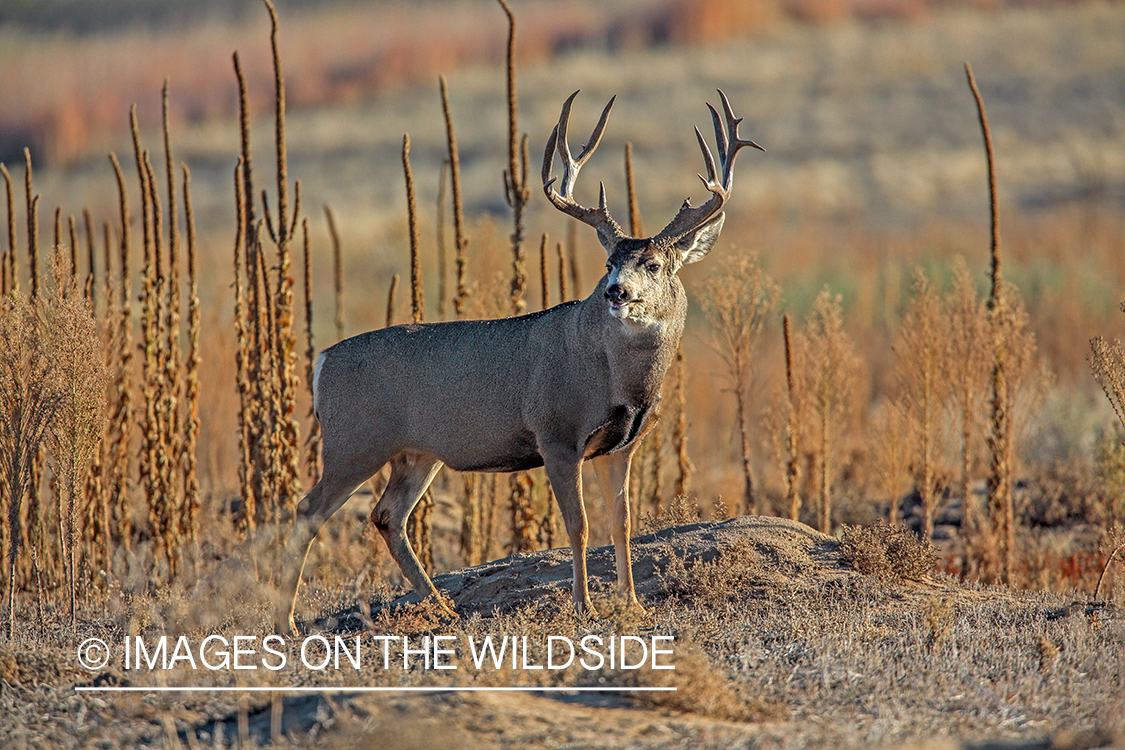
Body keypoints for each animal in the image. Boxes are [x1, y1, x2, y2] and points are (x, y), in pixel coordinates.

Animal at [275, 91, 760, 638]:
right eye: (608, 264)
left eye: (653, 264)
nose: (617, 292)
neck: (618, 379)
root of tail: (321, 363)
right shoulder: (557, 433)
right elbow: (579, 524)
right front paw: (585, 606)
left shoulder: (621, 446)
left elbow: (622, 522)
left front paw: (633, 605)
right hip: (355, 441)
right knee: (309, 510)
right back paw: (287, 621)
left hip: (416, 452)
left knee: (387, 516)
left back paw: (443, 609)